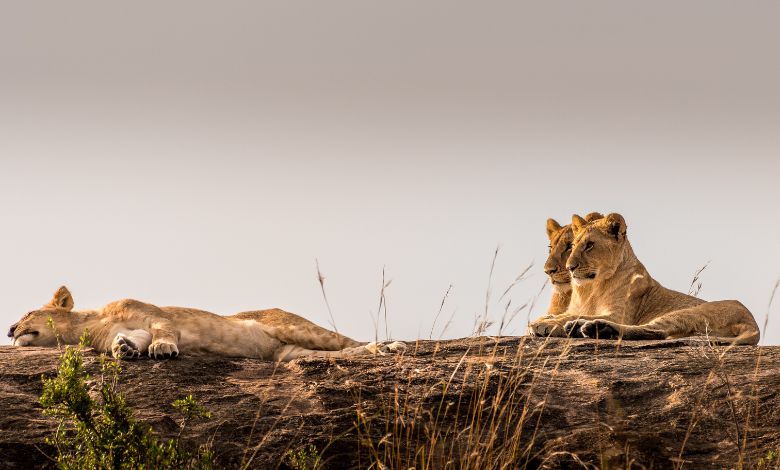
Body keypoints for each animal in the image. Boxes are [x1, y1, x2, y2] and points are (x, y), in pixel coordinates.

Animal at [530, 213, 760, 345]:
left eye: (589, 245)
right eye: (574, 244)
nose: (570, 267)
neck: (591, 288)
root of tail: (752, 323)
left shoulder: (620, 315)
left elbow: (574, 315)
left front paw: (545, 324)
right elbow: (569, 313)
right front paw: (547, 319)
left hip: (687, 313)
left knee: (654, 330)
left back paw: (591, 328)